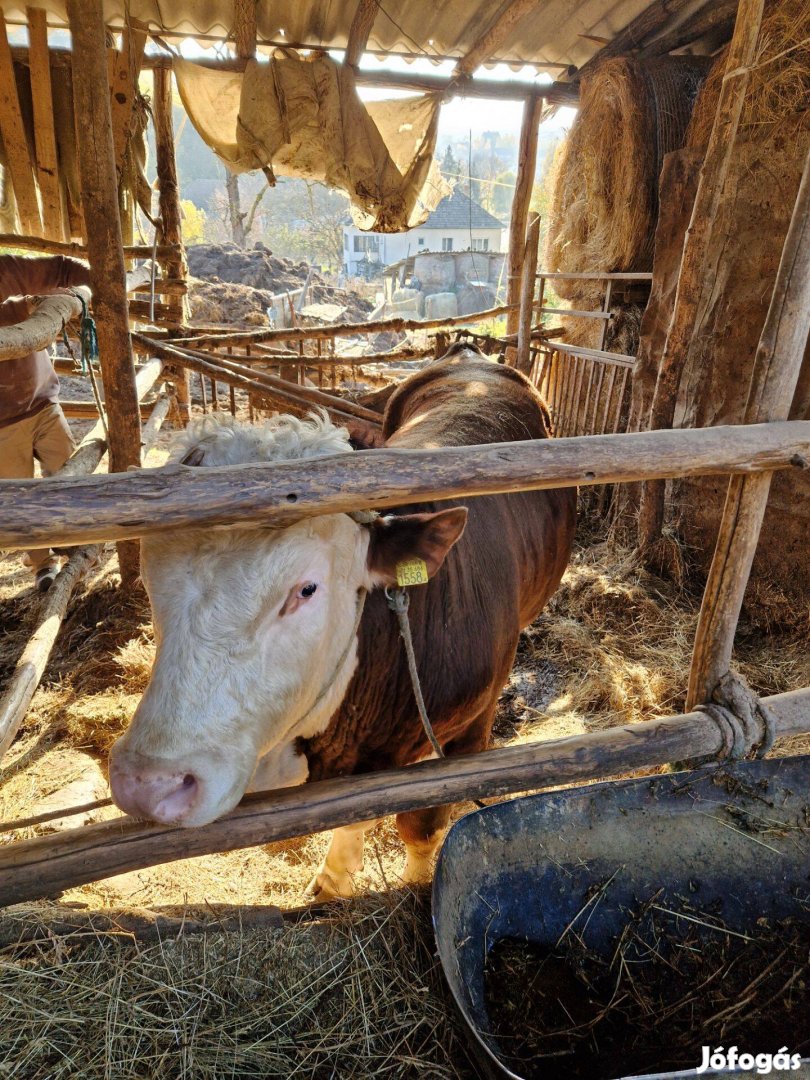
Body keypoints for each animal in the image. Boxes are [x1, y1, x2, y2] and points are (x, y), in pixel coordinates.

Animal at [109, 343, 578, 894]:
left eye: (306, 589)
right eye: (151, 578)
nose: (148, 785)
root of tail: (470, 355)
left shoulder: (464, 735)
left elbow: (420, 824)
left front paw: (415, 885)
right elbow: (350, 815)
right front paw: (332, 884)